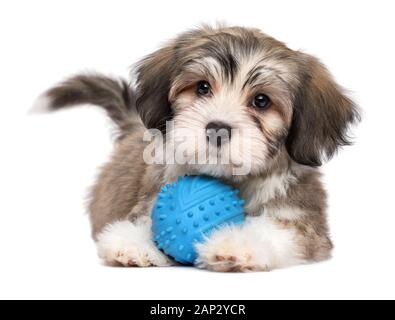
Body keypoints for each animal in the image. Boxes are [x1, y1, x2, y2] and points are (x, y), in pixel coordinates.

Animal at [38, 25, 360, 272]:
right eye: (203, 87)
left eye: (261, 101)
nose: (217, 128)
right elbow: (148, 217)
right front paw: (135, 242)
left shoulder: (305, 220)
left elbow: (281, 230)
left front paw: (237, 242)